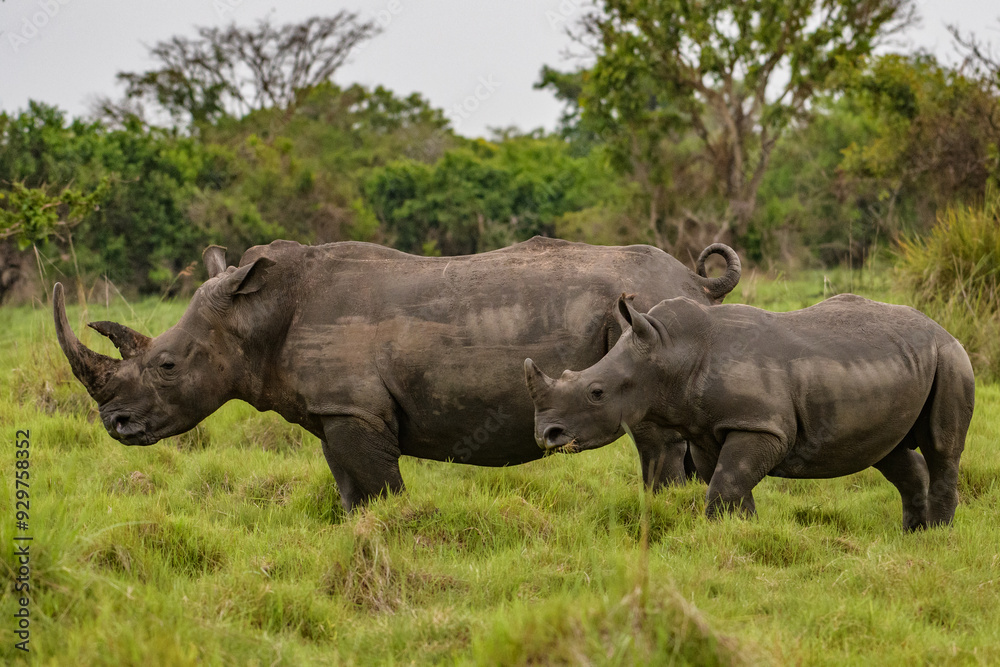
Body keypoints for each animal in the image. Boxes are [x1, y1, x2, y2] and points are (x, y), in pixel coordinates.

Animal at [53, 237, 740, 511]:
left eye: (167, 365)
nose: (114, 423)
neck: (256, 315)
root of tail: (695, 281)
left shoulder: (355, 409)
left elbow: (380, 488)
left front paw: (394, 532)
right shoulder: (334, 413)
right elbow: (349, 490)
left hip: (643, 319)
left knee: (654, 436)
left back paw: (657, 511)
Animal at [525, 294, 975, 530]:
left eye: (596, 393)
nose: (546, 435)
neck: (671, 354)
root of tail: (940, 327)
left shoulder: (763, 426)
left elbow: (726, 482)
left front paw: (722, 536)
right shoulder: (706, 429)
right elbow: (727, 483)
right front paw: (742, 532)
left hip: (951, 357)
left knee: (941, 447)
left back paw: (937, 535)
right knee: (888, 452)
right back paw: (912, 533)